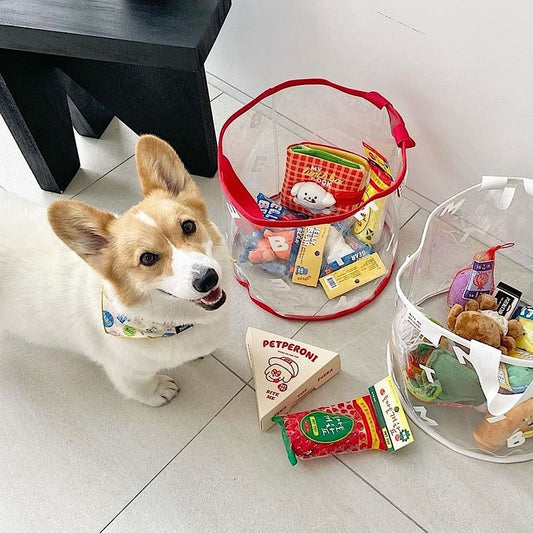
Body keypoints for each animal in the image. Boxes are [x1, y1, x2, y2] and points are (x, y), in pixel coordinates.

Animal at [0, 135, 229, 406]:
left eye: (188, 226)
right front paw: (159, 392)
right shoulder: (126, 371)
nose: (207, 279)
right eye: (147, 258)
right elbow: (140, 386)